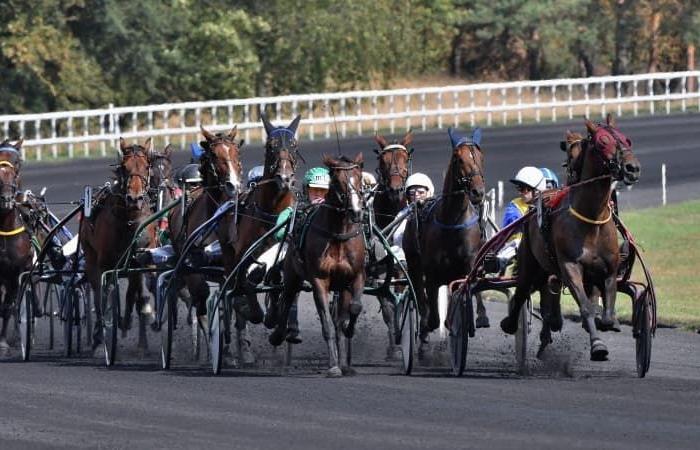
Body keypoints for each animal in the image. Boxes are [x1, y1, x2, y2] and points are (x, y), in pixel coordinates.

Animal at [79, 137, 157, 356]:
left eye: (146, 166)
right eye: (124, 167)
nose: (134, 198)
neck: (129, 221)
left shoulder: (141, 258)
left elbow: (138, 293)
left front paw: (141, 317)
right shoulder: (105, 264)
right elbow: (105, 297)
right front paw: (103, 336)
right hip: (91, 259)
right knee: (99, 296)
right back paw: (99, 336)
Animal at [270, 154, 366, 376]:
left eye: (358, 178)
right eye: (337, 181)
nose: (356, 211)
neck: (338, 234)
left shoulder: (355, 275)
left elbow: (354, 308)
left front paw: (348, 331)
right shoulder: (319, 280)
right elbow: (327, 324)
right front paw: (333, 365)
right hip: (292, 274)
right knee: (287, 298)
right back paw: (278, 334)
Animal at [402, 126, 490, 348]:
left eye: (481, 157)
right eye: (458, 159)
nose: (477, 192)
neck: (452, 221)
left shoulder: (469, 261)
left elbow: (471, 286)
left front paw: (479, 317)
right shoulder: (431, 272)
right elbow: (430, 308)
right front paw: (428, 324)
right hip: (414, 262)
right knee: (419, 291)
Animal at [500, 116, 644, 362]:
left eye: (627, 139)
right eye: (602, 142)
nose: (632, 168)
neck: (591, 219)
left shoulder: (608, 270)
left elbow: (606, 312)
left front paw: (608, 322)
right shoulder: (570, 267)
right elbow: (585, 307)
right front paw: (597, 345)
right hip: (530, 261)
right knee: (522, 292)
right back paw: (512, 324)